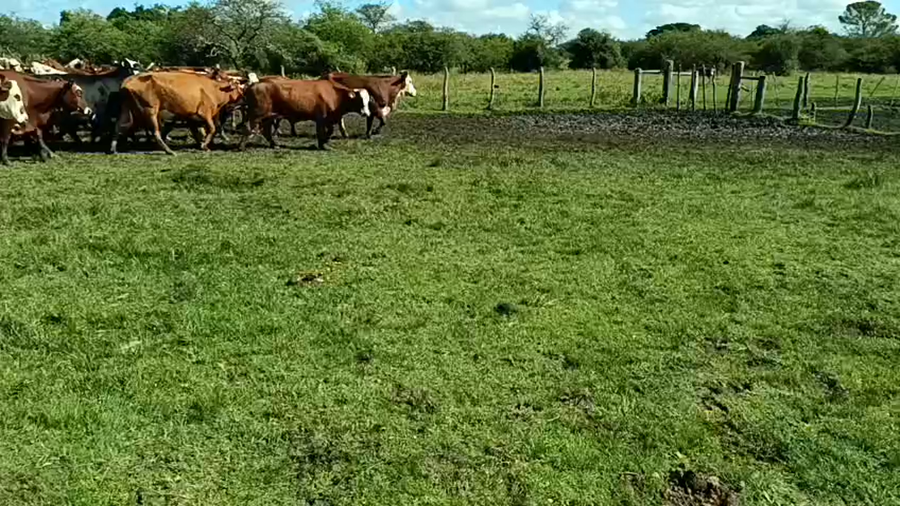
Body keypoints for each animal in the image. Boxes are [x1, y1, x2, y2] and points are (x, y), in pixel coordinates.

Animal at [111, 70, 246, 155]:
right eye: (238, 87)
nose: (243, 95)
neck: (214, 89)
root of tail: (128, 81)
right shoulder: (205, 112)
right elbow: (212, 128)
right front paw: (204, 145)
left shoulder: (191, 116)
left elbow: (199, 131)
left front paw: (202, 144)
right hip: (150, 110)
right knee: (155, 132)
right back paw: (169, 151)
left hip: (128, 111)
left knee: (119, 127)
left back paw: (113, 148)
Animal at [239, 76, 370, 151]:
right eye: (360, 100)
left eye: (368, 100)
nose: (367, 113)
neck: (335, 94)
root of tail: (254, 84)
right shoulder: (321, 118)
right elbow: (321, 132)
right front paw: (323, 145)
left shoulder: (329, 119)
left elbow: (329, 131)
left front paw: (325, 142)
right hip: (256, 115)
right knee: (247, 129)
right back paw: (241, 146)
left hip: (269, 116)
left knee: (265, 131)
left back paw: (274, 144)